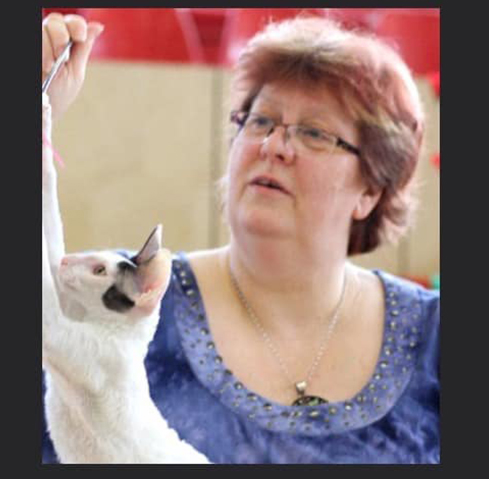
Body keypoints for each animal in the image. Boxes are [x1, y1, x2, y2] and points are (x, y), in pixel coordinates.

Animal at [42, 92, 210, 464]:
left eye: (99, 271)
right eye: (95, 259)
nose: (67, 261)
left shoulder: (75, 344)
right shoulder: (68, 305)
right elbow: (49, 221)